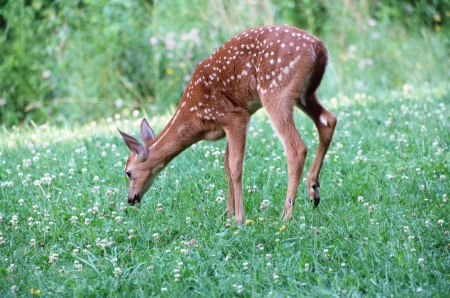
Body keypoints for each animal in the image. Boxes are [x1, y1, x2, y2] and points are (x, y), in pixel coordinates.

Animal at [118, 25, 336, 225]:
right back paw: (313, 191)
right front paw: (228, 214)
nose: (130, 198)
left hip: (276, 91)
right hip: (304, 94)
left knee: (297, 148)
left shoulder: (235, 116)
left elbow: (235, 165)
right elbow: (226, 166)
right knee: (328, 120)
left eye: (128, 172)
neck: (195, 117)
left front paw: (239, 218)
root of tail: (319, 47)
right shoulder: (230, 123)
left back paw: (286, 215)